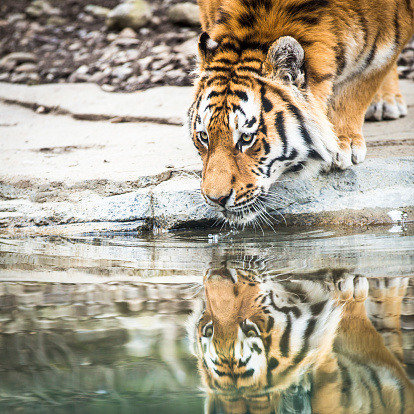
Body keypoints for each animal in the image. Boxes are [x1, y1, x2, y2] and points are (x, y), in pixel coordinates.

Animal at [188, 0, 414, 225]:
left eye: (246, 138)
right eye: (204, 136)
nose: (216, 199)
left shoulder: (386, 47)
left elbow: (357, 89)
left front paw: (343, 144)